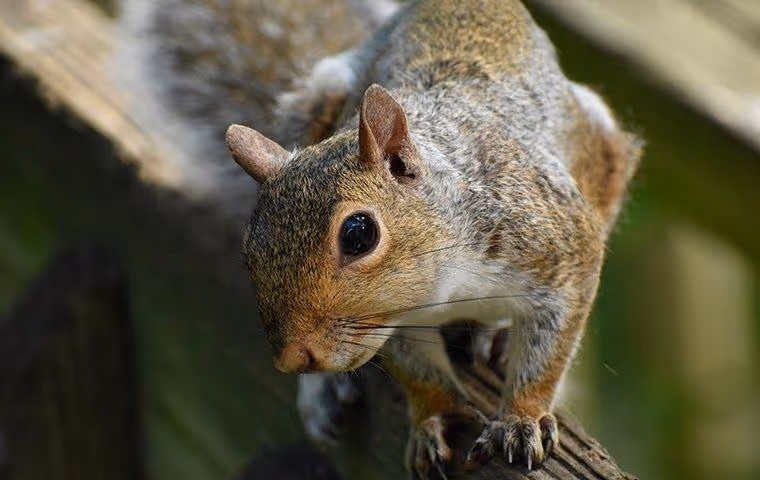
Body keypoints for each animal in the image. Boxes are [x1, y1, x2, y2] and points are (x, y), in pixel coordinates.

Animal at [123, 0, 639, 477]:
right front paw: (437, 416)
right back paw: (322, 390)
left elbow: (549, 347)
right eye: (248, 247)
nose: (292, 358)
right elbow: (417, 370)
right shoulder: (386, 317)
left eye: (359, 234)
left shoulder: (559, 243)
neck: (449, 279)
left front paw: (520, 418)